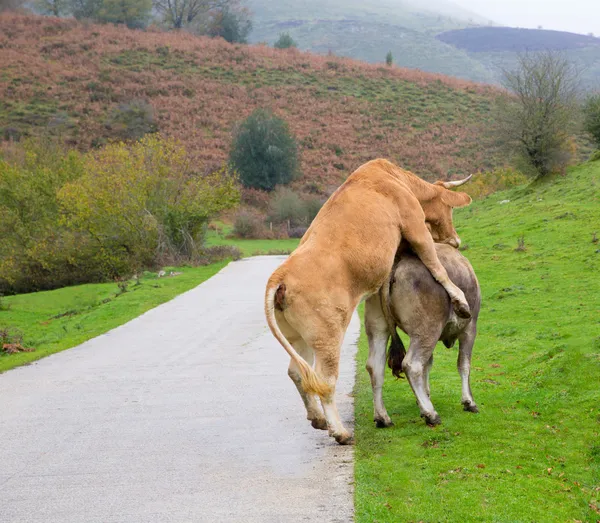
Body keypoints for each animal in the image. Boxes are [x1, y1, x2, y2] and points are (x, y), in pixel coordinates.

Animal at [364, 244, 480, 428]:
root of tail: (397, 262)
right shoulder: (469, 328)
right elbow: (463, 364)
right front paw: (469, 402)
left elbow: (428, 364)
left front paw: (424, 396)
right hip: (427, 330)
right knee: (412, 364)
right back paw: (430, 413)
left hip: (378, 326)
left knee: (375, 366)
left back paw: (383, 417)